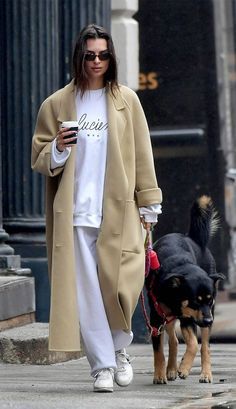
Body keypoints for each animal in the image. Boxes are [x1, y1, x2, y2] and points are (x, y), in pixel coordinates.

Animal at [146, 196, 225, 384]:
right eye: (196, 301)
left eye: (210, 300)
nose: (209, 321)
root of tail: (193, 238)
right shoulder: (157, 317)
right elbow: (158, 350)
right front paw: (160, 374)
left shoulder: (189, 317)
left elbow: (194, 344)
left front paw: (184, 368)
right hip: (168, 316)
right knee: (173, 341)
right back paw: (171, 370)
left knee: (204, 346)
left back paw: (205, 373)